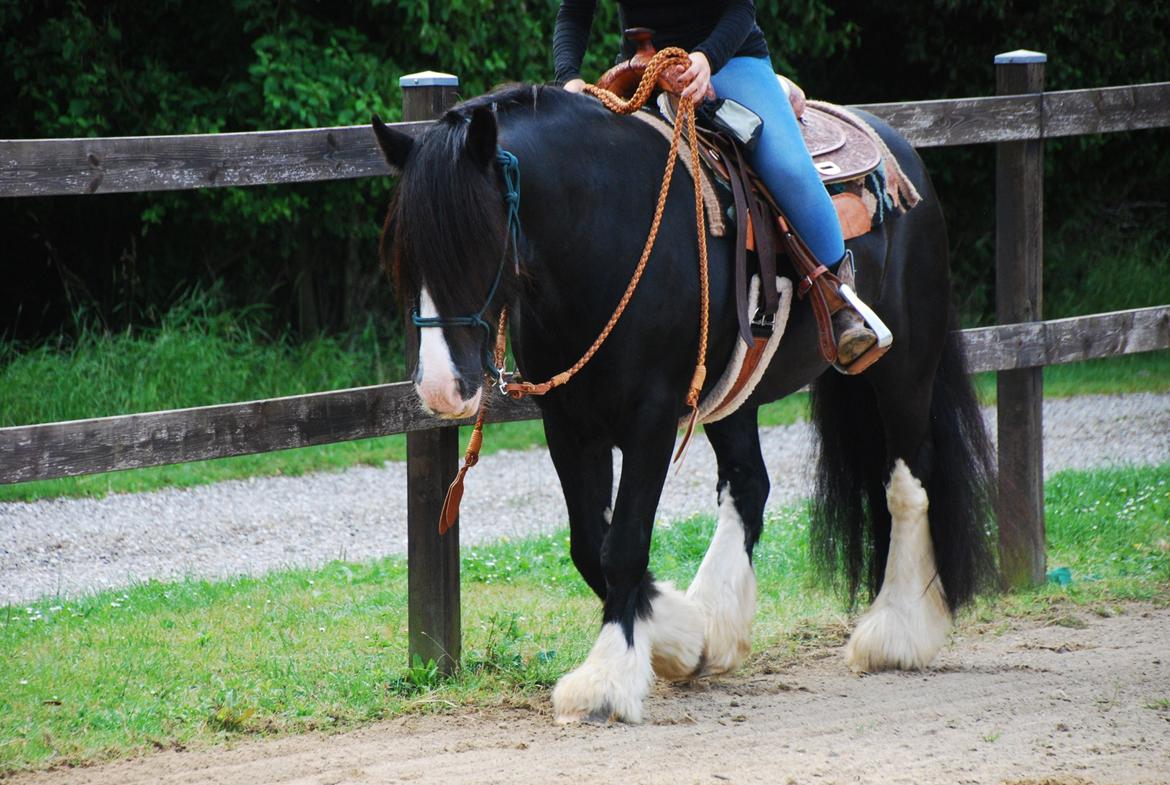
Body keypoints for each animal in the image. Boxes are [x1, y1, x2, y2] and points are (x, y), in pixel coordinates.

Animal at [369, 85, 992, 725]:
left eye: (477, 243)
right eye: (403, 255)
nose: (440, 388)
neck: (602, 235)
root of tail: (899, 150)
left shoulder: (653, 418)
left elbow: (621, 547)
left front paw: (606, 680)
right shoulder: (569, 424)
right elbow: (589, 547)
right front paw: (680, 638)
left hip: (904, 365)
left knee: (909, 482)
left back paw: (897, 631)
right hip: (736, 394)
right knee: (749, 485)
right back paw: (717, 627)